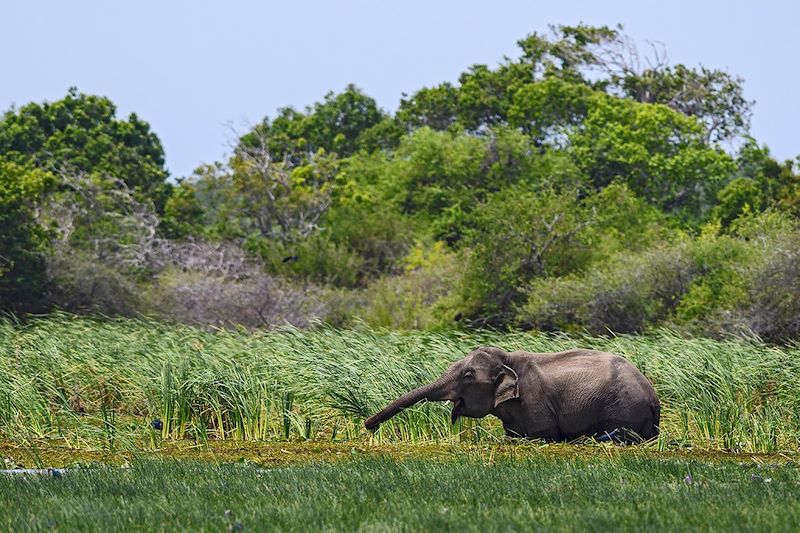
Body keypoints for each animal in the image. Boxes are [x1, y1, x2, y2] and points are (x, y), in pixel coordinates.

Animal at [366, 344, 660, 440]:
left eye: (468, 376)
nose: (368, 426)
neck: (507, 358)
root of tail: (654, 399)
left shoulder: (535, 402)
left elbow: (543, 435)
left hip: (621, 410)